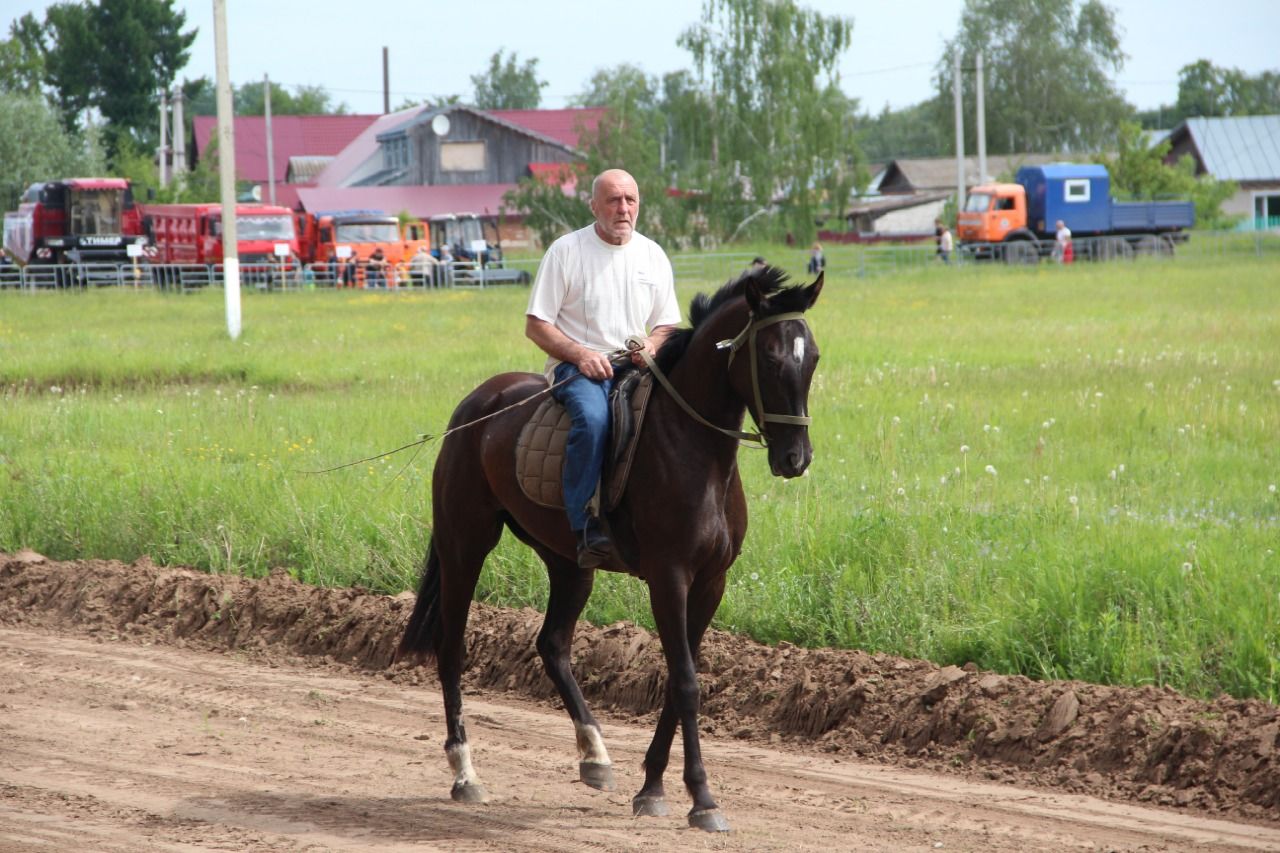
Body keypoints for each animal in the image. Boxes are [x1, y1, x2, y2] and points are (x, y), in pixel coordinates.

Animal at [394, 267, 824, 829]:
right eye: (770, 358)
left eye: (812, 357)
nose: (795, 458)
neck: (694, 448)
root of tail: (477, 403)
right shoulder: (669, 577)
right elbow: (686, 683)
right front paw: (702, 799)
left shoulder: (711, 582)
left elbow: (679, 680)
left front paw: (653, 787)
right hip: (464, 544)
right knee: (451, 648)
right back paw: (466, 774)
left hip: (569, 564)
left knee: (552, 645)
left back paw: (594, 755)